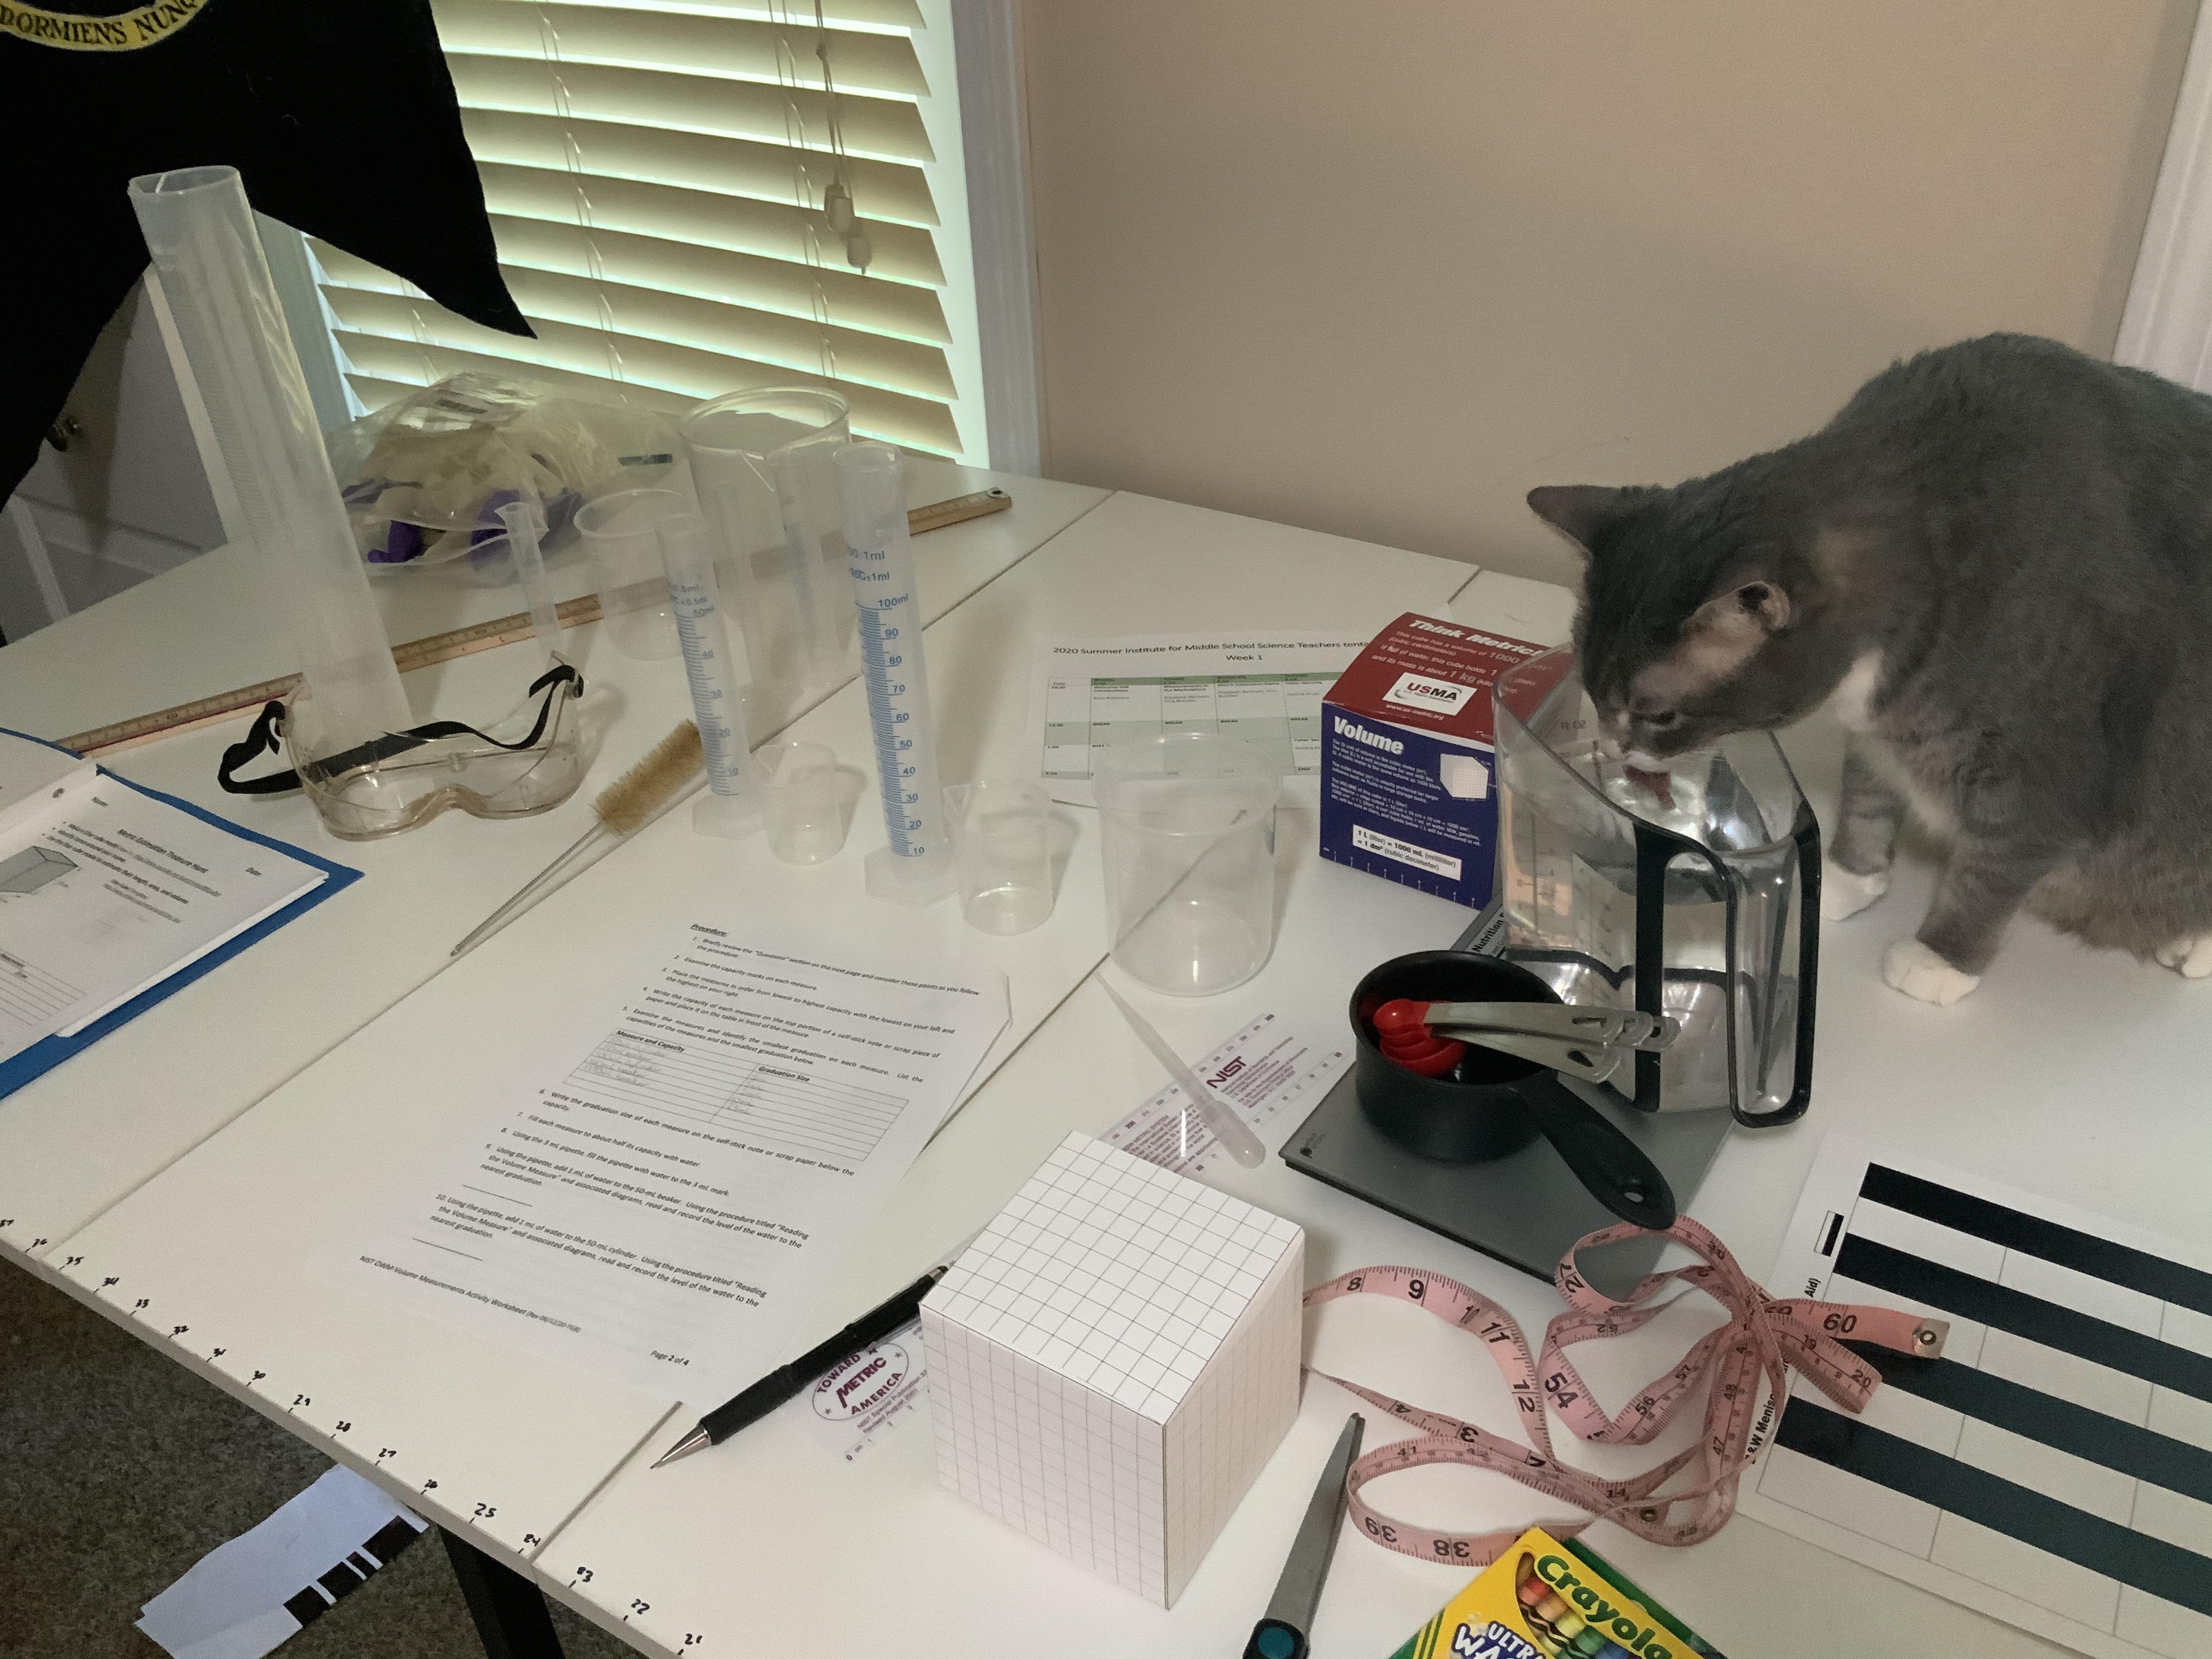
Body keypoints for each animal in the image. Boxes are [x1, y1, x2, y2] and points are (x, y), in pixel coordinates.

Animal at [1531, 336, 2212, 1008]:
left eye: (1659, 714)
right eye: (1592, 692)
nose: (1615, 748)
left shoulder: (2047, 774)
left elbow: (1991, 872)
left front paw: (1940, 960)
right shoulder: (1879, 733)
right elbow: (1866, 795)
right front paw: (1846, 879)